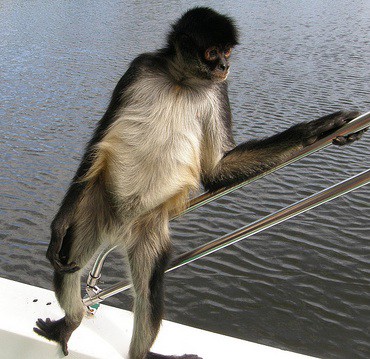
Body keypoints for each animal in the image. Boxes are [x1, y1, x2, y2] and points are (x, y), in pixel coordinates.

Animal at [34, 6, 364, 359]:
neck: (181, 81)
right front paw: (58, 225)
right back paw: (72, 321)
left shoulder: (218, 89)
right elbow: (98, 143)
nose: (224, 66)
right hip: (95, 211)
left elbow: (215, 170)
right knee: (68, 262)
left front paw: (324, 127)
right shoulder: (140, 66)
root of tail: (117, 229)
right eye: (211, 53)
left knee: (149, 288)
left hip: (148, 228)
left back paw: (140, 351)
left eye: (227, 52)